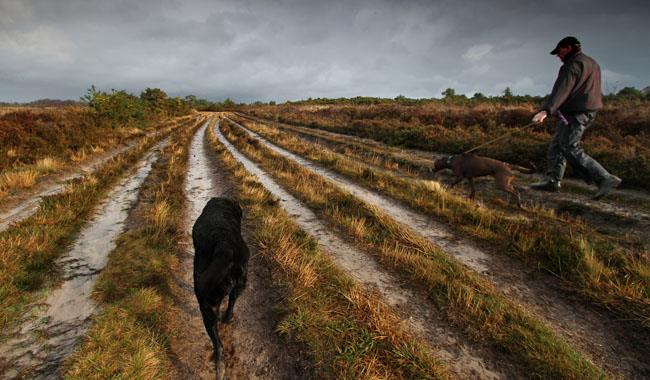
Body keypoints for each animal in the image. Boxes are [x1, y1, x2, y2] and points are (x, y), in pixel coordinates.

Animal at [190, 197, 248, 366]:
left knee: (218, 344)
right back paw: (227, 318)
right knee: (232, 302)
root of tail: (225, 246)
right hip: (239, 287)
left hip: (206, 306)